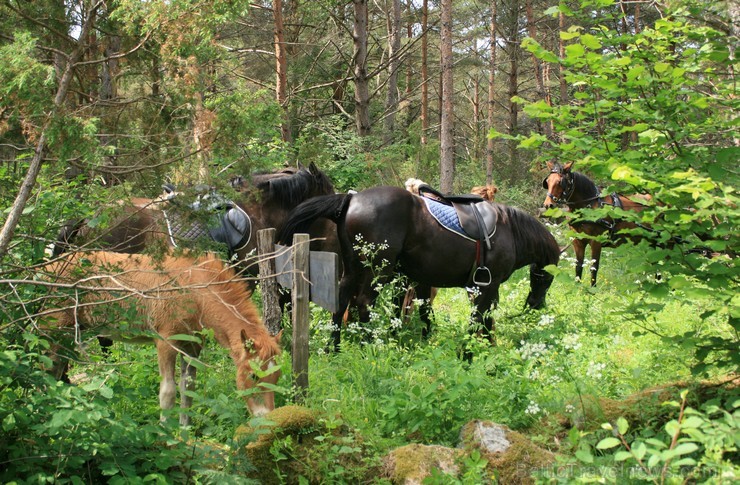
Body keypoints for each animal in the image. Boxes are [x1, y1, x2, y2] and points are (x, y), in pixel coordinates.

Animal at [41, 250, 284, 424]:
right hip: (53, 326)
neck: (195, 290)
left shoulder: (192, 346)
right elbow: (168, 392)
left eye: (277, 376)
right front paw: (166, 435)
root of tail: (45, 269)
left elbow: (188, 389)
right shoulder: (166, 342)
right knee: (47, 368)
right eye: (253, 375)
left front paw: (185, 431)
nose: (266, 418)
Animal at [280, 184, 556, 348]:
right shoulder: (488, 286)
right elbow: (484, 318)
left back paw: (334, 348)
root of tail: (349, 200)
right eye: (547, 278)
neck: (510, 230)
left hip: (353, 267)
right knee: (364, 303)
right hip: (377, 270)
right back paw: (370, 345)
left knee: (342, 301)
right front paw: (487, 348)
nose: (535, 304)